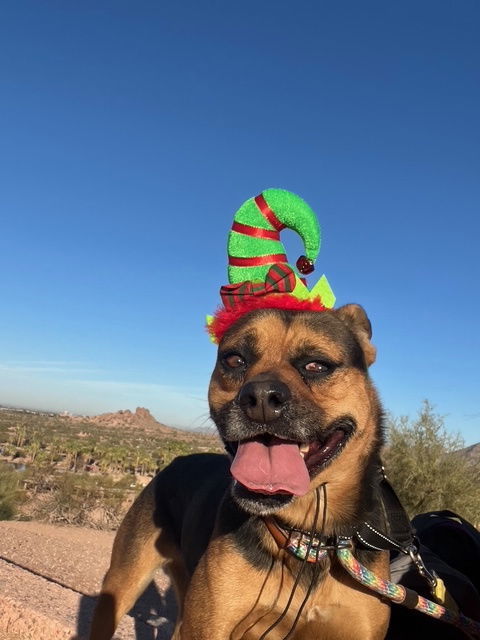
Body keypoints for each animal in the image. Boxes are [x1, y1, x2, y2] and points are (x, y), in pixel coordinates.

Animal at [90, 304, 394, 640]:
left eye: (316, 365)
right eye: (235, 359)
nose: (261, 398)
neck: (307, 536)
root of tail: (175, 461)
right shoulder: (211, 627)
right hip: (120, 586)